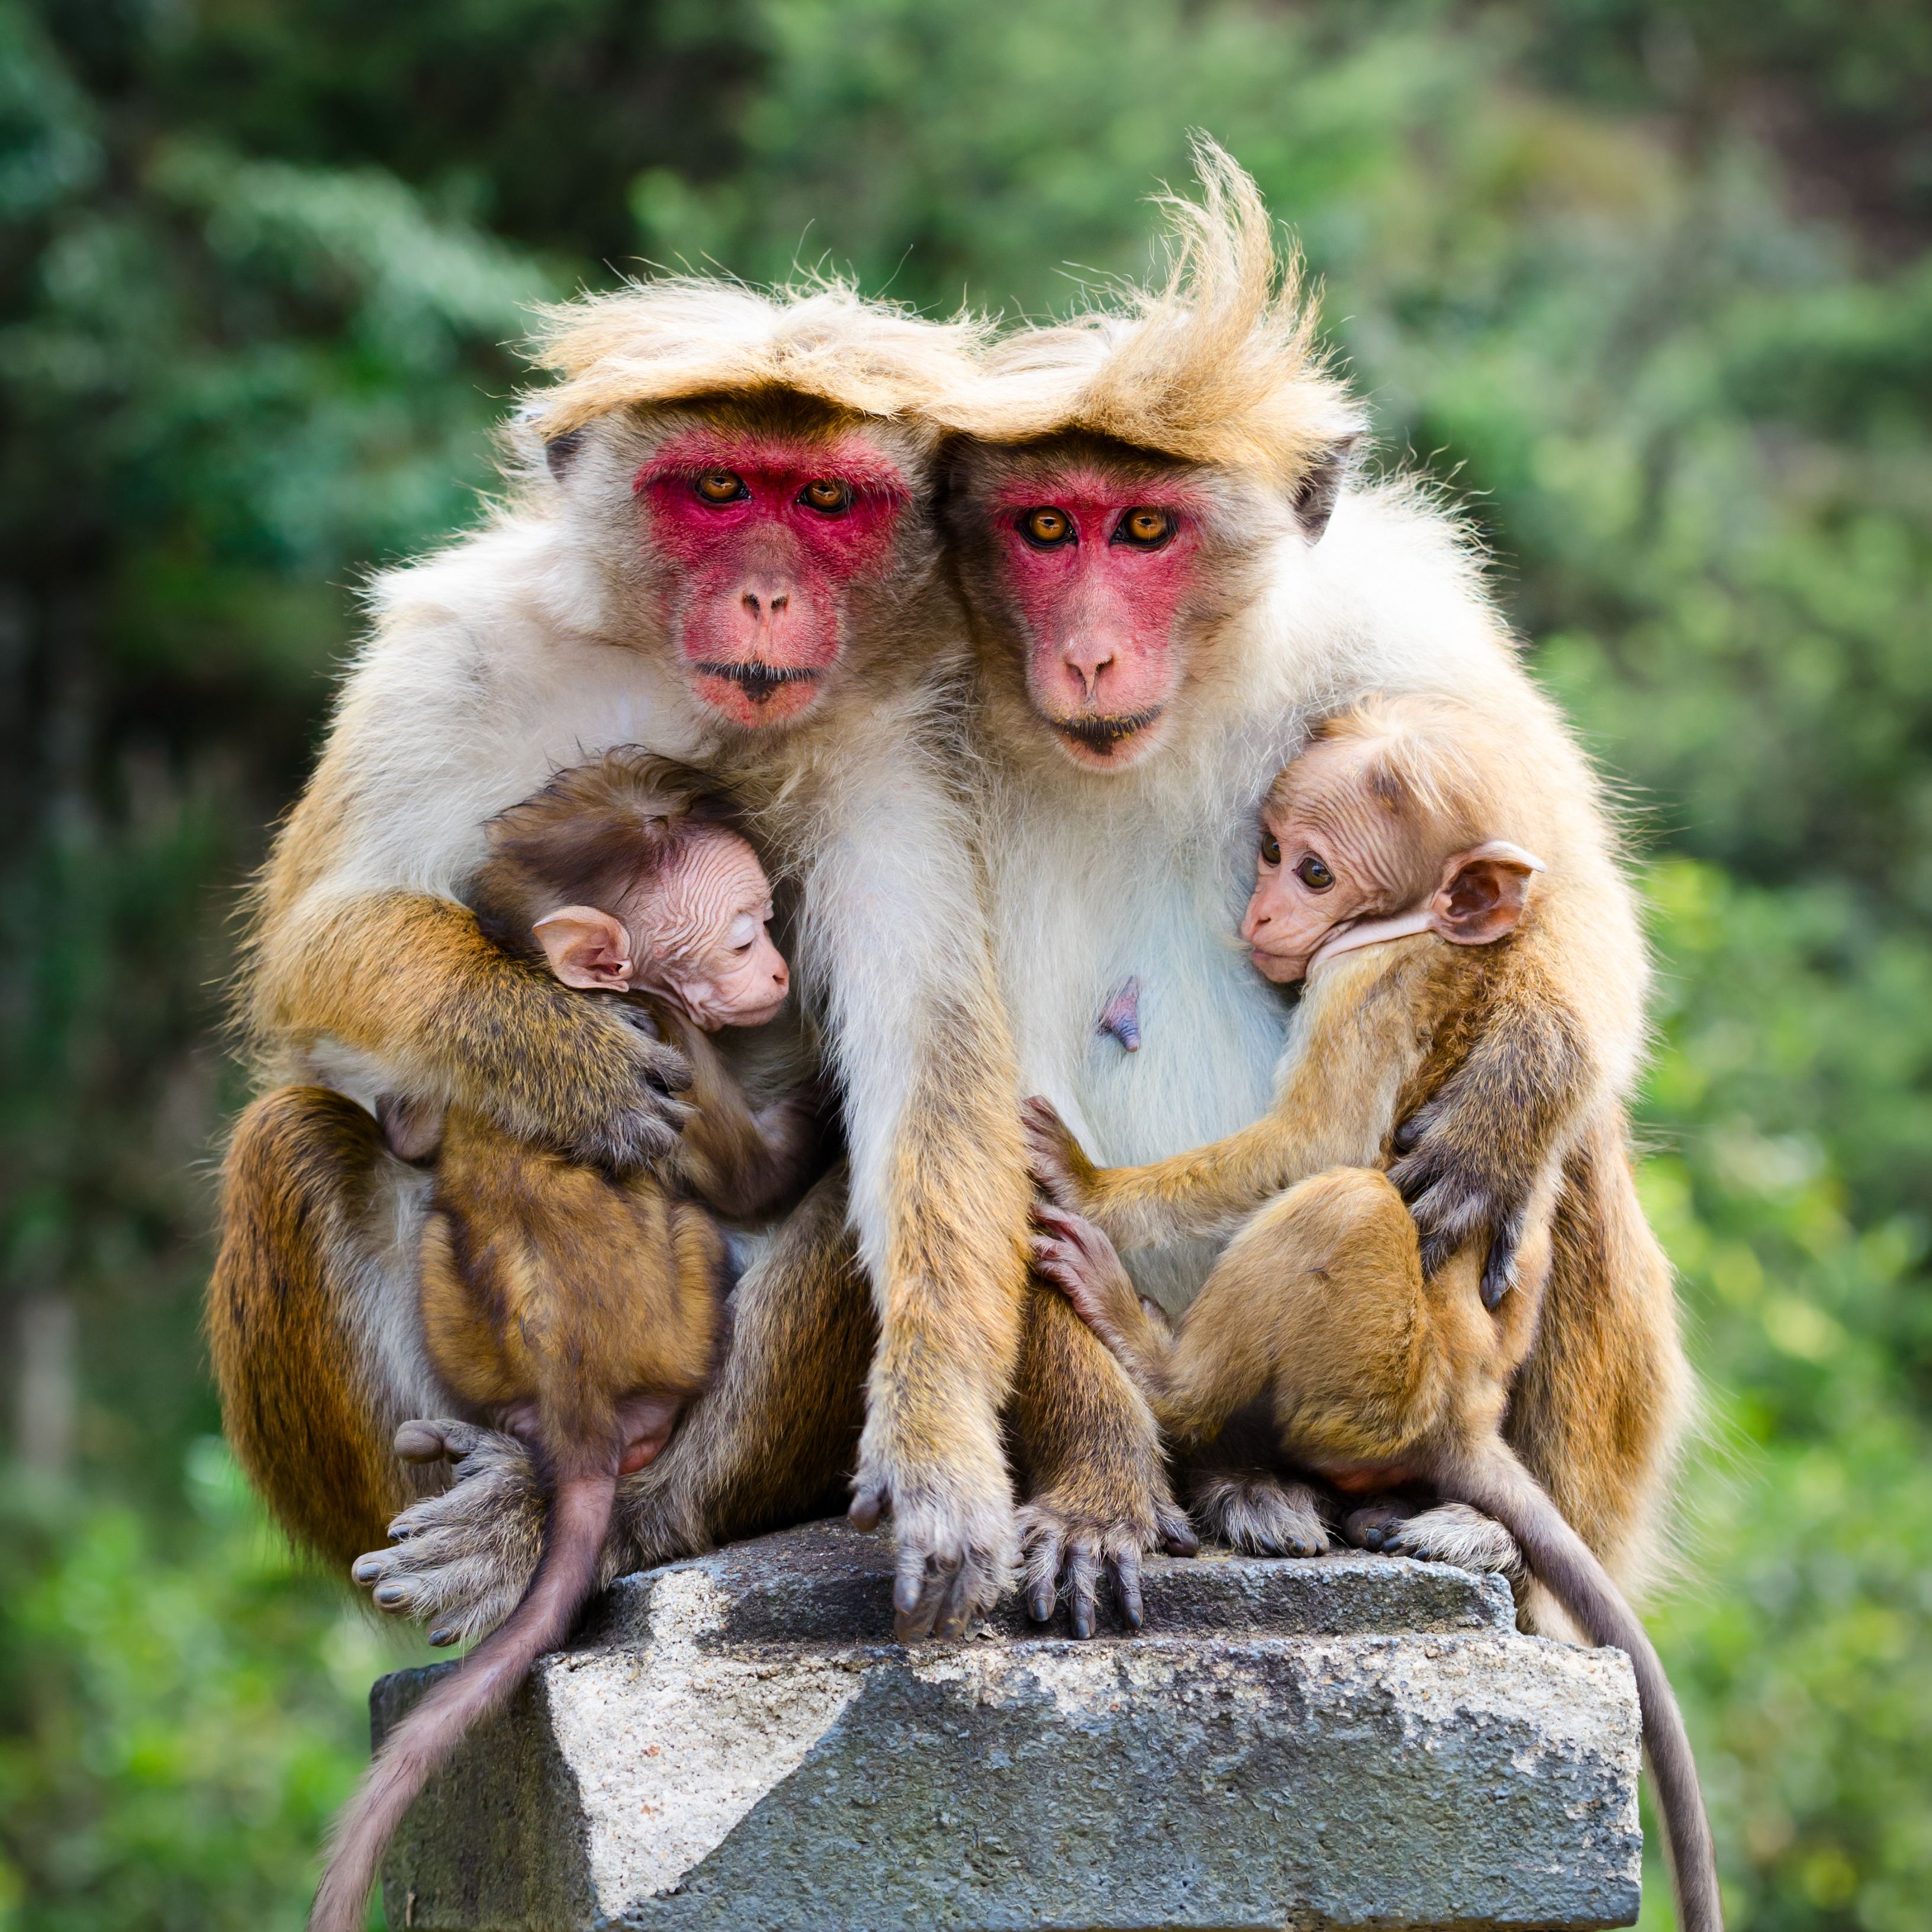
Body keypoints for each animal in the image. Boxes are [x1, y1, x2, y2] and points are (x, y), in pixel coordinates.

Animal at [210, 282, 1050, 1657]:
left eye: (825, 502)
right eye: (713, 489)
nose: (765, 598)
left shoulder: (902, 734)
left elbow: (927, 1053)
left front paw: (940, 1453)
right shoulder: (445, 657)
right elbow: (315, 945)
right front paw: (554, 1053)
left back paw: (616, 1519)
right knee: (287, 1139)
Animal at [308, 751, 821, 1932]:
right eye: (744, 934)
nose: (781, 968)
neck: (582, 991)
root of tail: (577, 1404)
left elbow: (421, 1116)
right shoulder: (670, 1040)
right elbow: (749, 1176)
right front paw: (822, 1102)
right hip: (684, 1316)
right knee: (703, 1230)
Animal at [926, 142, 1687, 1618]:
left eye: (1145, 528)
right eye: (1047, 527)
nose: (1091, 651)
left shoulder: (1390, 611)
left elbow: (1566, 892)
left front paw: (1513, 1100)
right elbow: (945, 1115)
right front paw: (1100, 1482)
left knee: (1563, 1153)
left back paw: (1491, 1532)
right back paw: (1218, 1465)